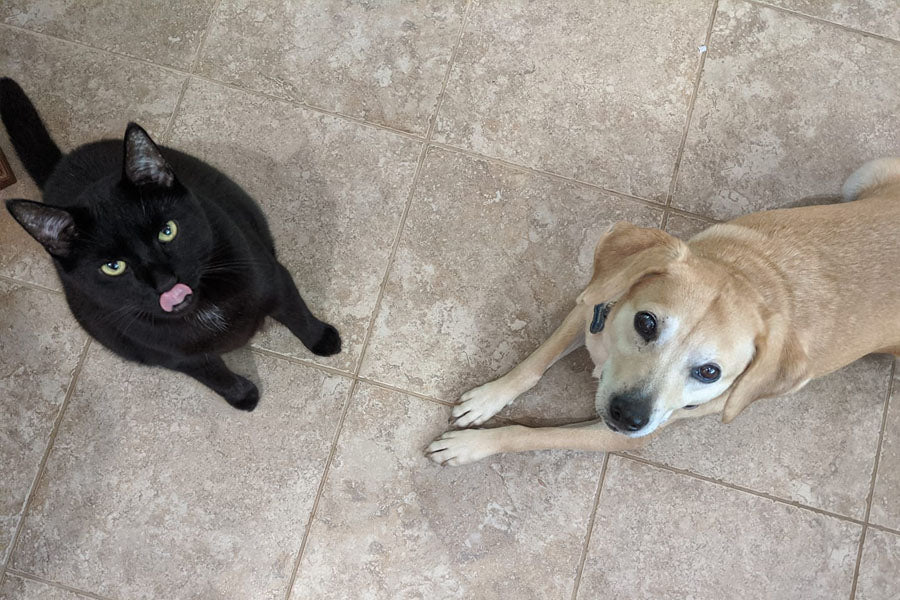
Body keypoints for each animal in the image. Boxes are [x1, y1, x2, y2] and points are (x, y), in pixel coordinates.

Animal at [0, 77, 342, 410]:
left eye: (167, 231)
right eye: (113, 266)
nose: (165, 281)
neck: (202, 306)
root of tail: (60, 167)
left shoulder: (269, 274)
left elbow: (295, 311)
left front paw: (322, 339)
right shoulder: (173, 354)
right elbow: (213, 374)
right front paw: (242, 396)